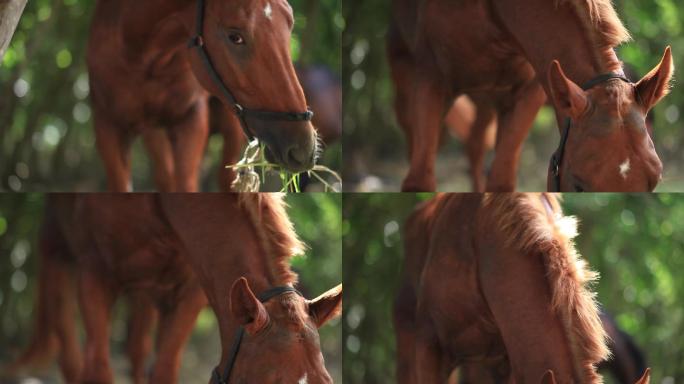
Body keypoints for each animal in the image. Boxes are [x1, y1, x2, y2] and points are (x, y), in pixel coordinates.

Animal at [9, 194, 340, 382]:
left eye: (327, 383)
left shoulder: (189, 293)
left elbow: (163, 371)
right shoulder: (94, 277)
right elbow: (97, 371)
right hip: (56, 252)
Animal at [390, 0, 672, 192]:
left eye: (654, 181)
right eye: (579, 185)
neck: (493, 13)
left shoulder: (527, 92)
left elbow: (501, 180)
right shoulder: (430, 78)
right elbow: (419, 180)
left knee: (475, 145)